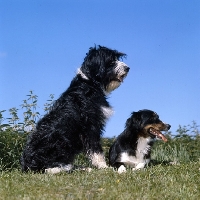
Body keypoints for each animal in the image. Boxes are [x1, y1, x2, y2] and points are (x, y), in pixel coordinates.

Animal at [20, 45, 130, 173]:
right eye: (111, 61)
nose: (128, 68)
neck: (89, 83)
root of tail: (28, 166)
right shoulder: (90, 126)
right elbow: (96, 150)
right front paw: (103, 167)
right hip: (61, 143)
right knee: (55, 168)